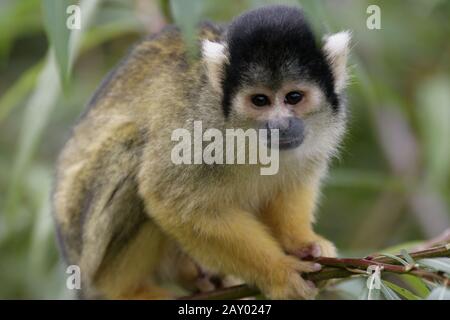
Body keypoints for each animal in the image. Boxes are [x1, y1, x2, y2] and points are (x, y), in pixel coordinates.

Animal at [52, 5, 352, 300]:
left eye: (293, 97)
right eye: (260, 100)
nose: (281, 125)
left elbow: (292, 183)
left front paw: (302, 242)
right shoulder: (197, 126)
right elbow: (170, 199)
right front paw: (280, 273)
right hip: (88, 249)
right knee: (134, 146)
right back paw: (126, 291)